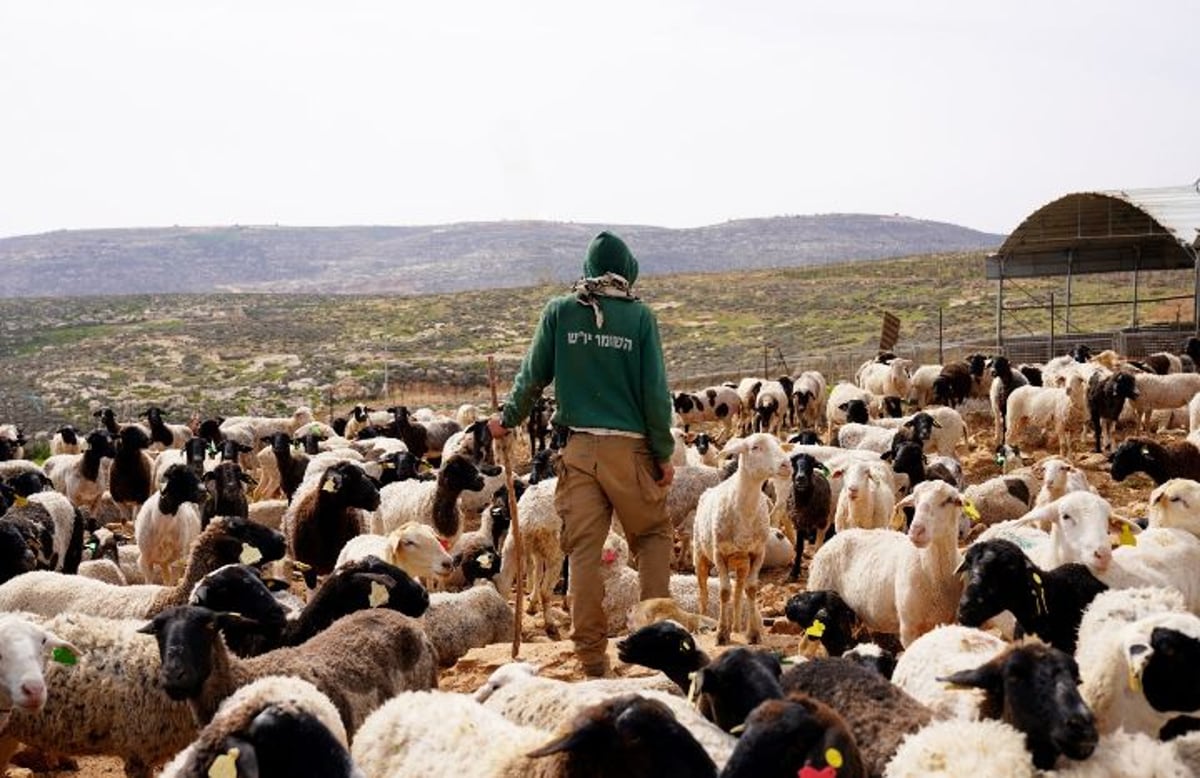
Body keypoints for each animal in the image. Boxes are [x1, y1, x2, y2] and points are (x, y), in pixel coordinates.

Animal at [691, 432, 792, 643]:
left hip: (741, 563)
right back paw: (703, 621)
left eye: (779, 444)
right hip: (700, 555)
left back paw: (736, 628)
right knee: (703, 592)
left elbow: (751, 590)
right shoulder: (719, 554)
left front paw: (752, 634)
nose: (787, 465)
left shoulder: (757, 554)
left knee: (738, 593)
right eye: (755, 447)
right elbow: (724, 592)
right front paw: (721, 634)